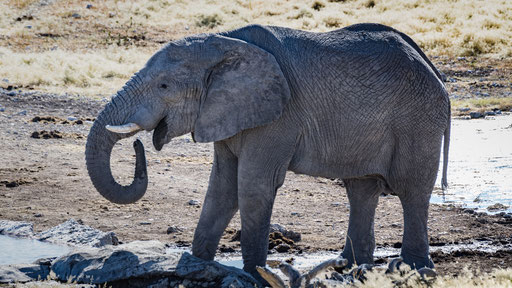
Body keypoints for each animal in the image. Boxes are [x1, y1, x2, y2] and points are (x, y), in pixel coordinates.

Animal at [86, 23, 450, 282]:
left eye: (163, 86)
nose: (138, 143)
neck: (226, 44)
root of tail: (433, 68)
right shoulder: (227, 113)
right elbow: (222, 188)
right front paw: (196, 266)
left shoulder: (278, 117)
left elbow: (252, 186)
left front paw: (254, 275)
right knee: (361, 190)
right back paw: (348, 268)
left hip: (418, 119)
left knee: (411, 190)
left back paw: (414, 270)